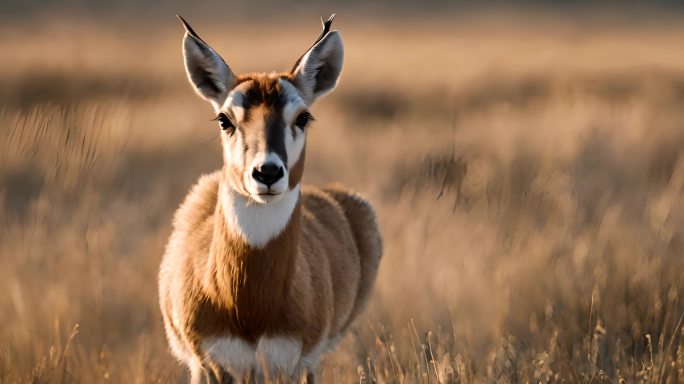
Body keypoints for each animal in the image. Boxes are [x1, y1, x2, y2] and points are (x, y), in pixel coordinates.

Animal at [160, 13, 382, 382]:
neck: (250, 308)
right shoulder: (212, 365)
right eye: (225, 119)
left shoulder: (286, 364)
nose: (267, 173)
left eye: (303, 116)